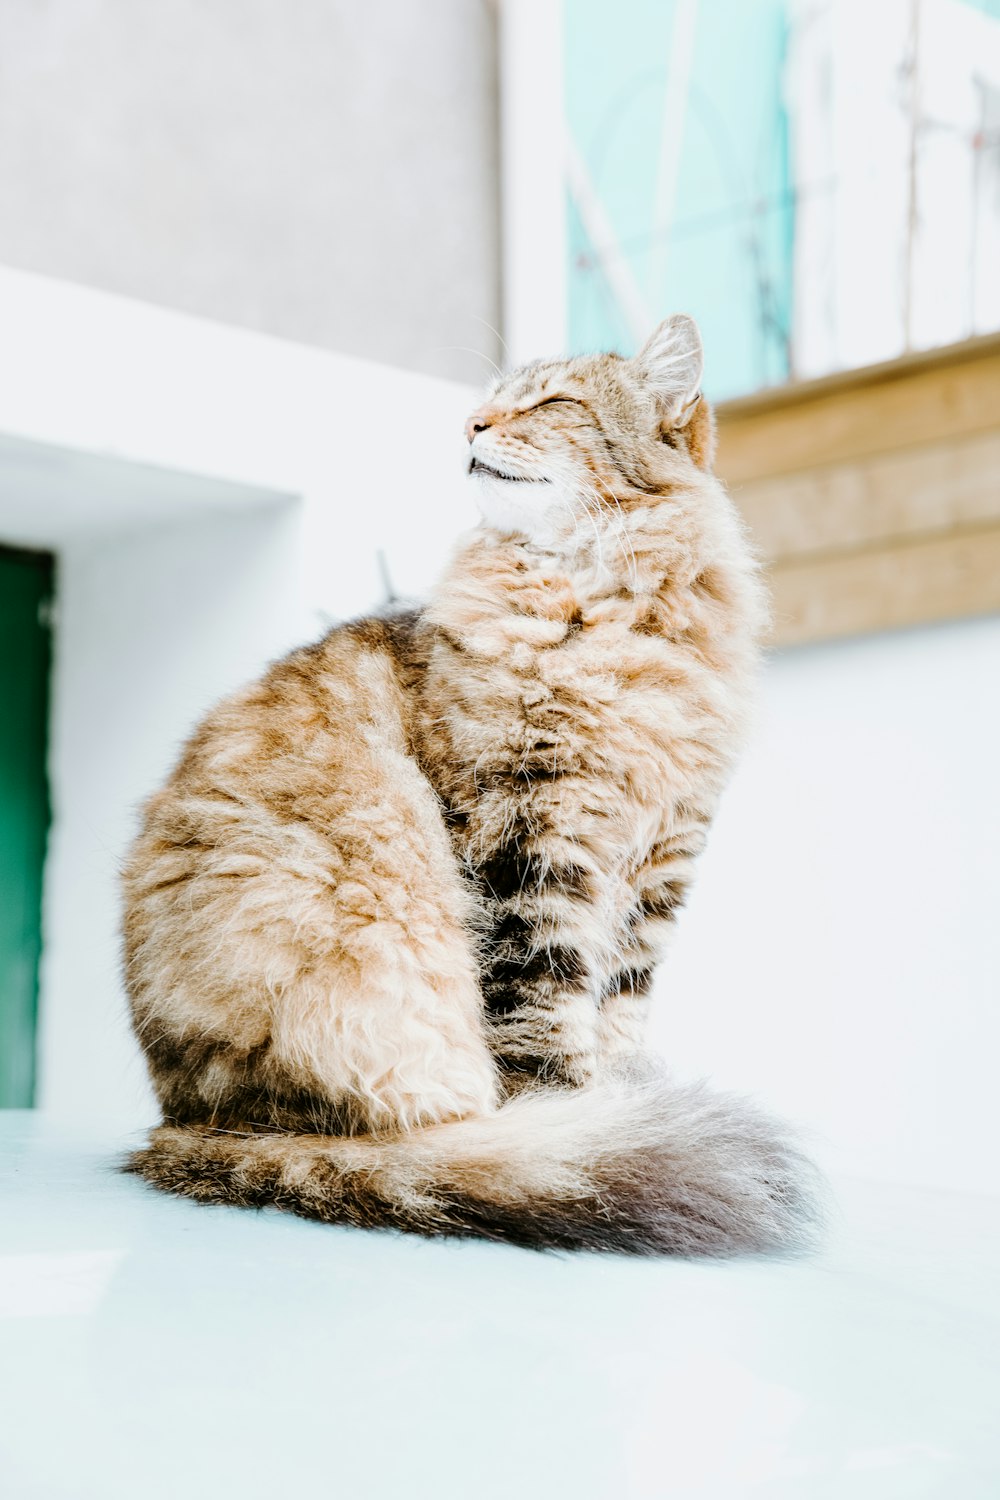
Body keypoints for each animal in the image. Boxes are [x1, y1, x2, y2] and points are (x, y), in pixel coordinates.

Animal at [121, 313, 815, 1254]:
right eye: (490, 402)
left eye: (551, 403)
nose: (472, 426)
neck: (613, 620)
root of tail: (190, 1119)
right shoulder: (528, 843)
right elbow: (543, 1023)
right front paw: (581, 1128)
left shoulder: (658, 871)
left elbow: (618, 1023)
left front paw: (625, 1108)